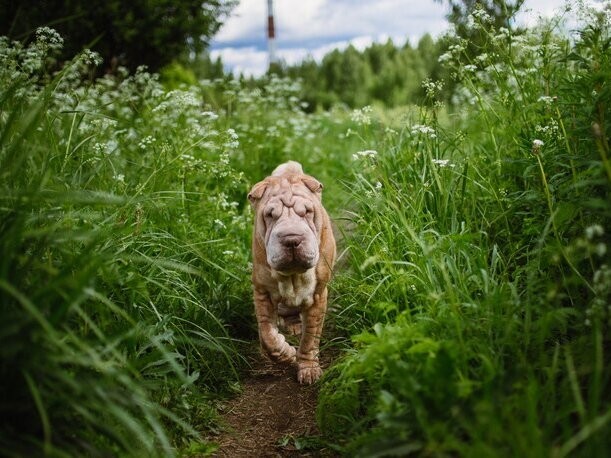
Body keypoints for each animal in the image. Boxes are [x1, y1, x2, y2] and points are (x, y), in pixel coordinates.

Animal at [246, 161, 338, 382]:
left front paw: (308, 368)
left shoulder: (318, 296)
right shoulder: (262, 292)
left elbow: (311, 336)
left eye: (307, 212)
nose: (292, 239)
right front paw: (286, 353)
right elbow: (267, 336)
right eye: (270, 215)